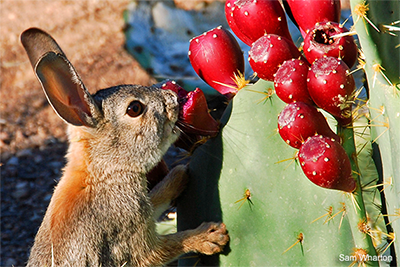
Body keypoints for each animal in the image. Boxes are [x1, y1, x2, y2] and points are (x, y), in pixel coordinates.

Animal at [21, 27, 228, 267]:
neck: (104, 172)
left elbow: (157, 198)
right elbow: (165, 247)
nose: (172, 99)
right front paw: (210, 236)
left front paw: (179, 175)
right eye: (135, 108)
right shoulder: (133, 236)